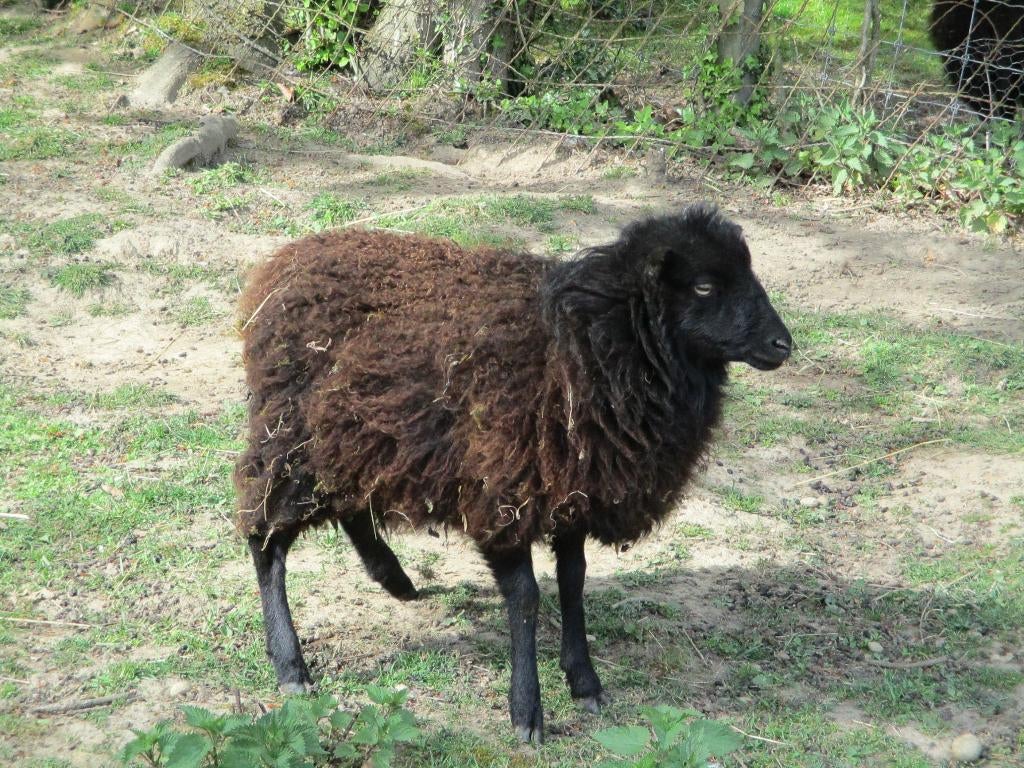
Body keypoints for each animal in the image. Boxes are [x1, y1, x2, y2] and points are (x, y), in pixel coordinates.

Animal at [234, 204, 792, 743]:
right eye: (703, 286)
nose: (782, 344)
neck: (590, 341)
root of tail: (284, 263)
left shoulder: (573, 493)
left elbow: (573, 580)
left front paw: (584, 682)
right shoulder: (503, 490)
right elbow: (525, 598)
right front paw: (527, 713)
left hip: (357, 436)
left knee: (349, 503)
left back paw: (394, 579)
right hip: (290, 435)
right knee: (266, 539)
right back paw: (291, 666)